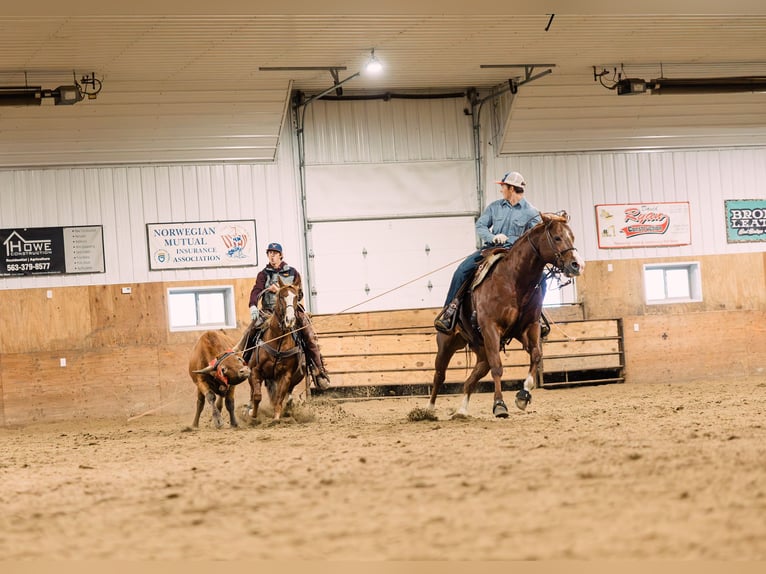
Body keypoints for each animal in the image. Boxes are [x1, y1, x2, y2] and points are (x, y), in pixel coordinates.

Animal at [246, 284, 306, 424]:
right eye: (281, 297)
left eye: (296, 297)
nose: (290, 319)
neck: (278, 341)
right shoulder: (255, 370)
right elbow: (257, 395)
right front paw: (253, 414)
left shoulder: (286, 375)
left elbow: (279, 398)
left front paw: (276, 418)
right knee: (253, 392)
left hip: (297, 376)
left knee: (287, 393)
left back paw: (289, 406)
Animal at [428, 212, 584, 418]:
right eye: (557, 237)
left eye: (572, 237)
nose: (577, 265)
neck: (514, 281)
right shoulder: (491, 328)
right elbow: (498, 367)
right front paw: (499, 405)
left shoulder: (529, 327)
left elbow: (536, 355)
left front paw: (523, 396)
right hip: (447, 343)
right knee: (439, 375)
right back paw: (428, 410)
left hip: (481, 349)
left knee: (472, 378)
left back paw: (461, 410)